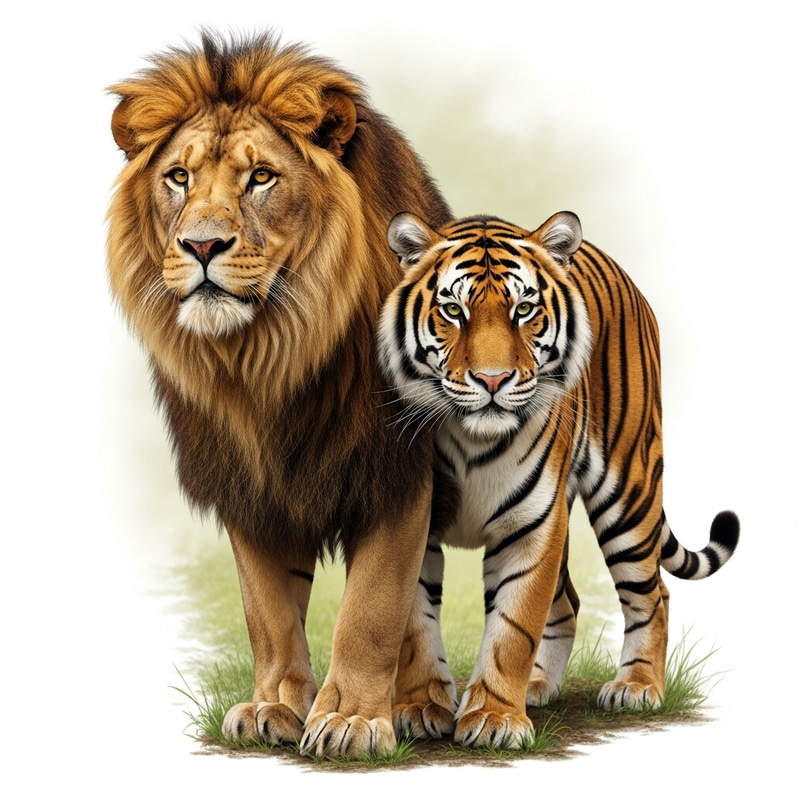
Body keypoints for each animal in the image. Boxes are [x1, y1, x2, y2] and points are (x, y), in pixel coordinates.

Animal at [106, 31, 451, 758]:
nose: (202, 245)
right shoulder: (249, 483)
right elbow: (268, 610)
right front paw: (276, 706)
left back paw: (422, 705)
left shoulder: (395, 469)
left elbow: (374, 606)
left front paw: (351, 719)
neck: (265, 360)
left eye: (260, 177)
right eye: (178, 178)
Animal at [377, 210, 739, 749]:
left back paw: (637, 686)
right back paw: (537, 685)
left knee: (654, 593)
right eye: (453, 311)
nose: (492, 380)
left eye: (524, 310)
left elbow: (513, 627)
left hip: (628, 494)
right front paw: (422, 709)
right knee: (567, 600)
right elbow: (414, 625)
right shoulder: (414, 524)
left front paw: (495, 718)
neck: (471, 439)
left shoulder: (532, 529)